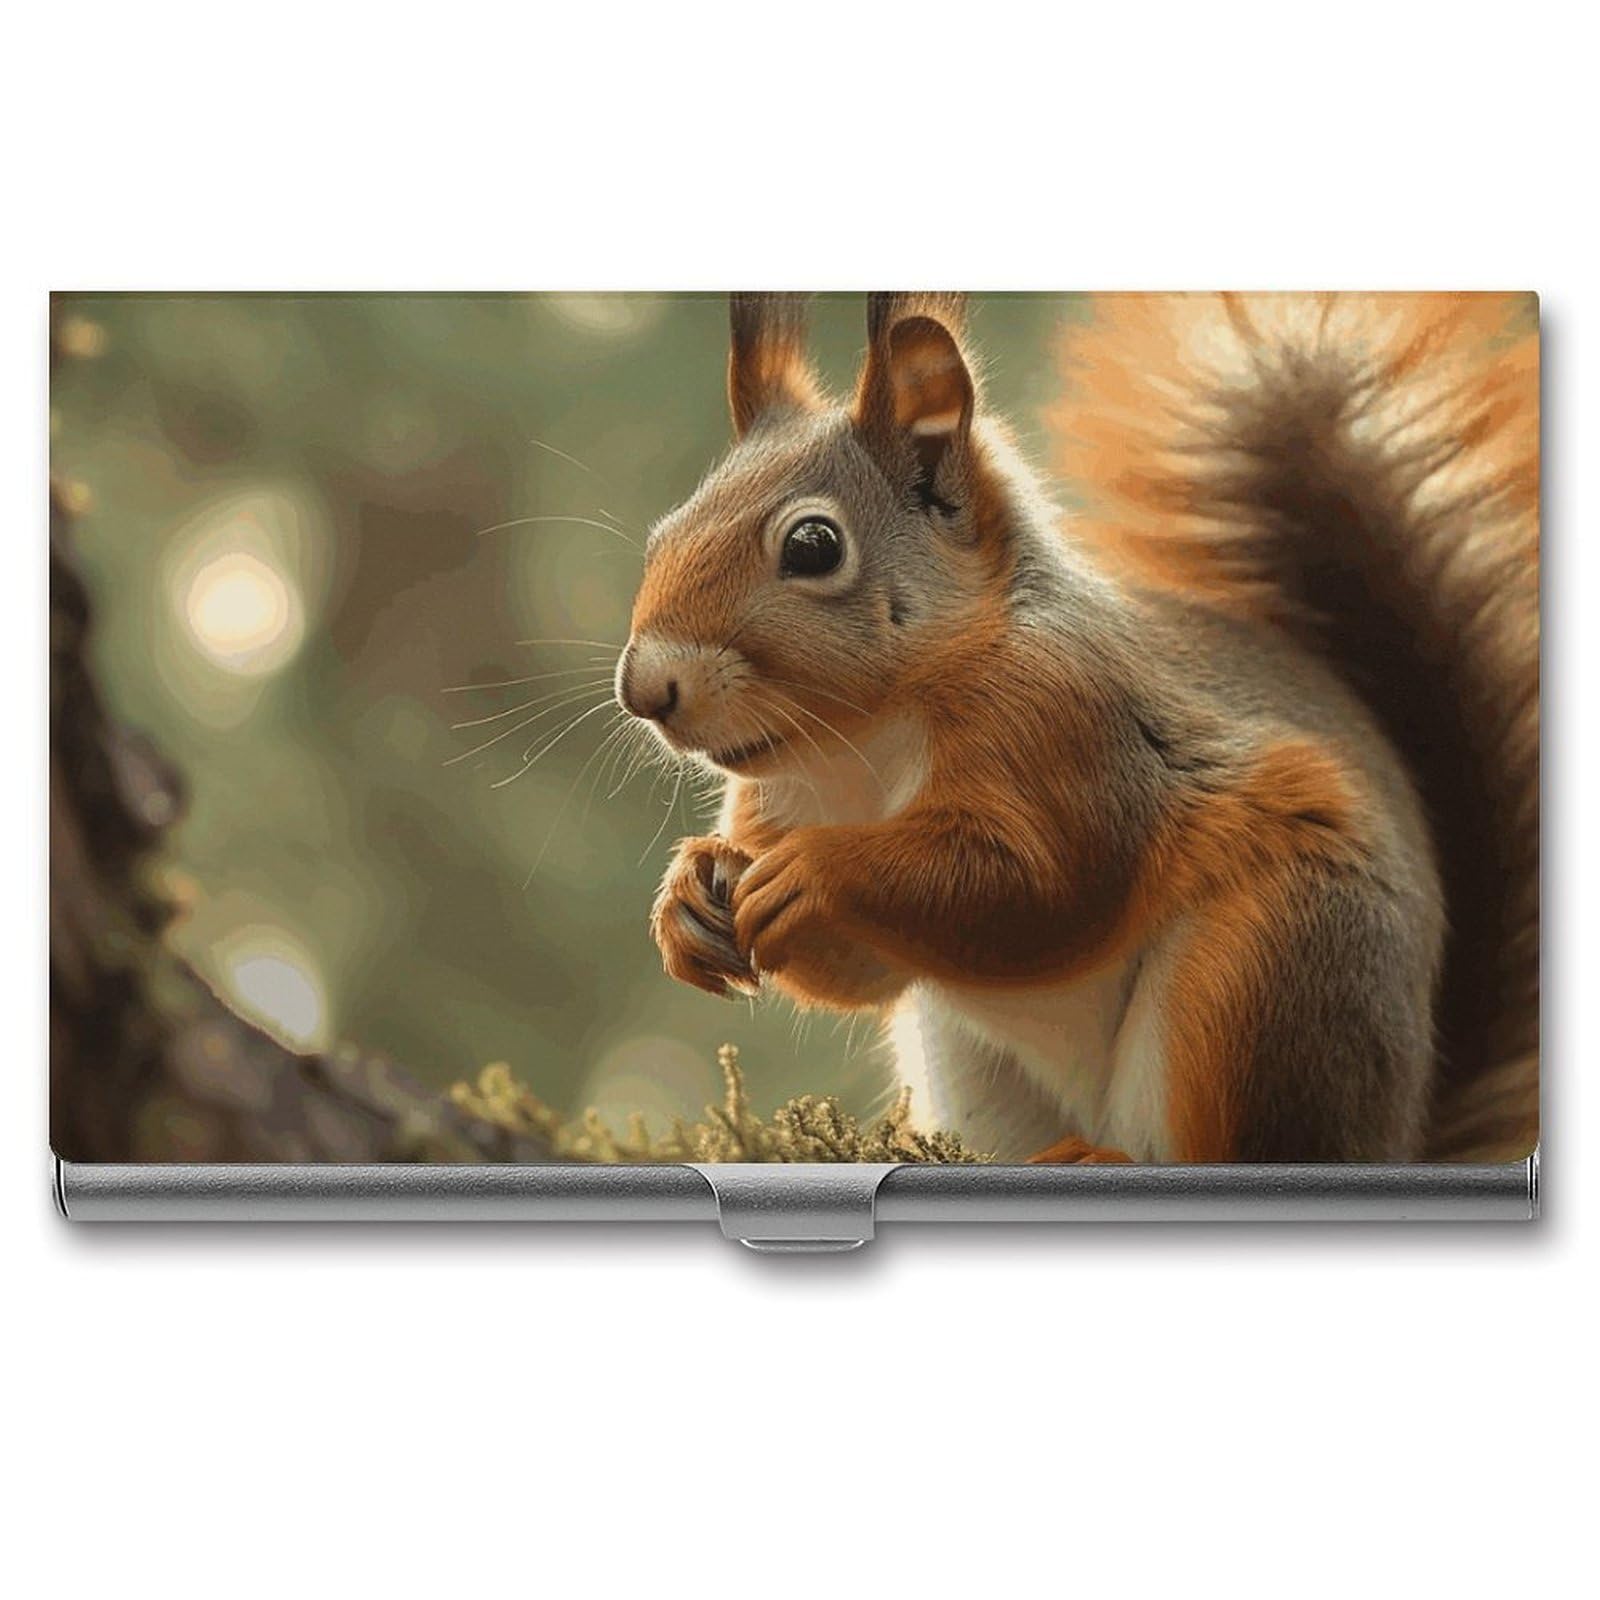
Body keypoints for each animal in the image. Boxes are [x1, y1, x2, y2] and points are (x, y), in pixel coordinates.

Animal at [615, 291, 1538, 1165]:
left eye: (812, 545)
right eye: (662, 536)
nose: (644, 689)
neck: (864, 741)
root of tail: (1397, 1131)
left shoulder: (1073, 727)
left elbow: (1040, 885)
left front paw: (815, 872)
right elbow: (864, 974)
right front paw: (690, 894)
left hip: (1262, 972)